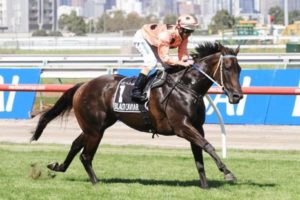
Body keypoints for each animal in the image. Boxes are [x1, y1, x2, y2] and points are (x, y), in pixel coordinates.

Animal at [31, 41, 244, 188]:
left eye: (240, 69)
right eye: (227, 68)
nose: (237, 96)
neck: (186, 87)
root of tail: (83, 85)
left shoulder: (196, 127)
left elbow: (199, 156)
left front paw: (205, 185)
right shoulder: (182, 127)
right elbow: (208, 146)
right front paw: (228, 173)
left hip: (96, 126)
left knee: (76, 145)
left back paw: (58, 166)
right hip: (95, 129)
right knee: (85, 155)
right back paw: (96, 182)